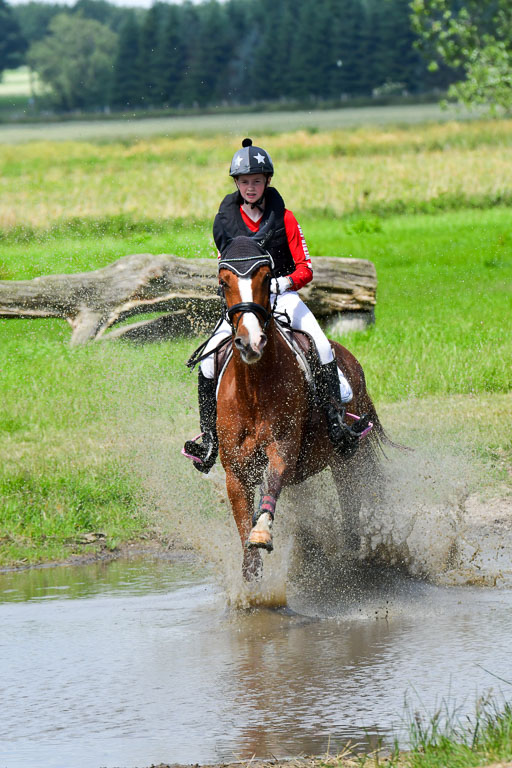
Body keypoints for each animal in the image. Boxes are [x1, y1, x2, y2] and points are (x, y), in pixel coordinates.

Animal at [211, 234, 387, 581]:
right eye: (224, 282)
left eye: (267, 278)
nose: (251, 342)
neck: (253, 388)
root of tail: (351, 359)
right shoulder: (236, 471)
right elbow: (245, 533)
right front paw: (251, 576)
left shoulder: (283, 448)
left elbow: (272, 487)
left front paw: (262, 532)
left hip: (347, 457)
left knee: (351, 504)